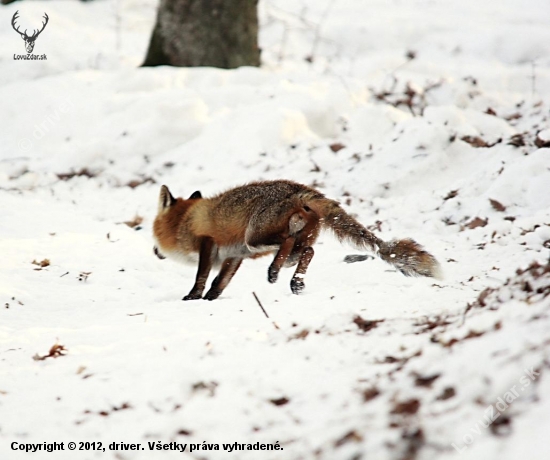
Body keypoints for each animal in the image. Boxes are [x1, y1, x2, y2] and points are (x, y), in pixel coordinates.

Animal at [152, 180, 444, 302]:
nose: (154, 251)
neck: (186, 221)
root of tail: (299, 188)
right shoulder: (235, 255)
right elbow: (219, 282)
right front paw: (211, 298)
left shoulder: (209, 244)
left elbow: (202, 276)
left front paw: (193, 297)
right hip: (278, 246)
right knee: (308, 251)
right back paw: (296, 282)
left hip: (255, 239)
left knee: (288, 243)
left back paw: (274, 272)